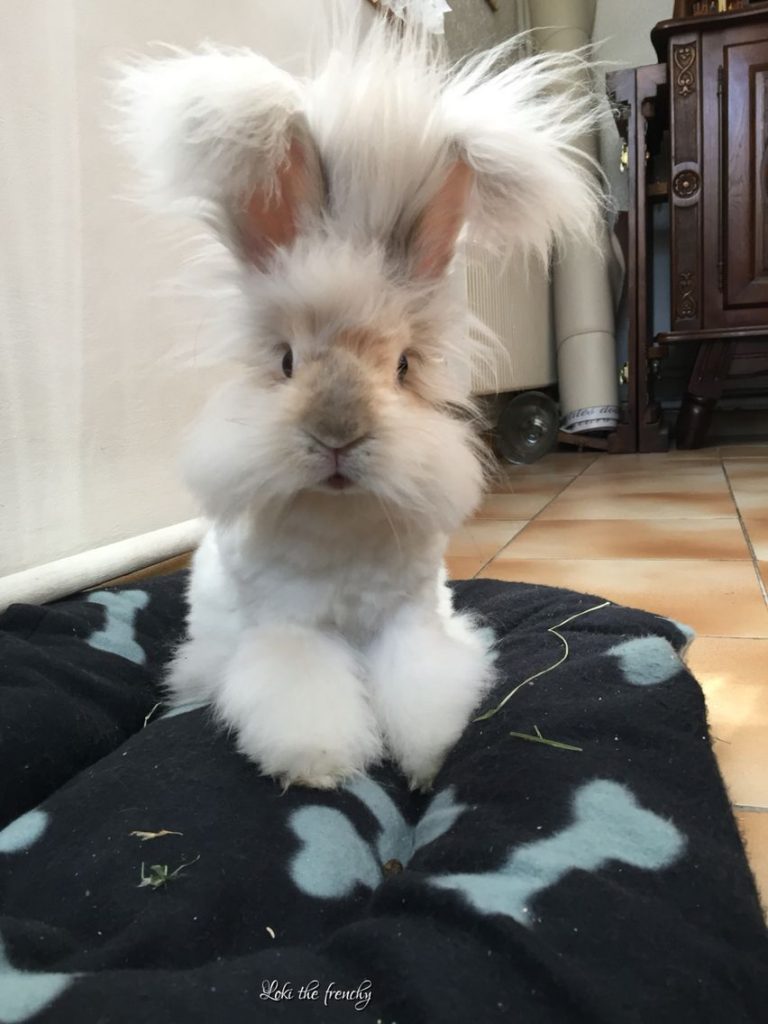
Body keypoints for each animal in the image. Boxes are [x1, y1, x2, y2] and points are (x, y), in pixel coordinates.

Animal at [117, 12, 606, 786]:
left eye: (403, 367)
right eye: (286, 361)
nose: (338, 435)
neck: (341, 520)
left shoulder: (410, 624)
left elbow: (420, 688)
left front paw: (424, 767)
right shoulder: (291, 631)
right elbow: (303, 694)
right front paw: (322, 769)